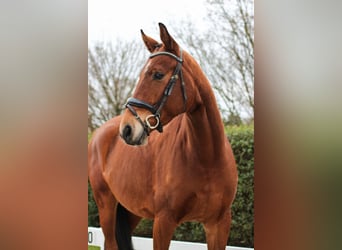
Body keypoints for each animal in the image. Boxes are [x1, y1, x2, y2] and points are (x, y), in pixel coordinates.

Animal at [88, 22, 238, 249]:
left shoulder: (219, 224)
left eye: (157, 74)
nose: (127, 129)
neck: (207, 159)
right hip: (106, 205)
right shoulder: (164, 222)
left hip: (132, 212)